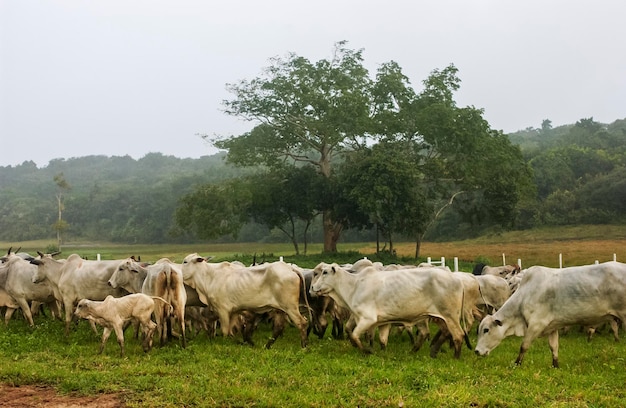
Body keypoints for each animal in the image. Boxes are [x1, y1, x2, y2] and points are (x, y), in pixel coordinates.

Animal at [179, 255, 308, 348]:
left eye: (185, 262)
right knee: (278, 327)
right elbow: (232, 330)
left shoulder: (223, 310)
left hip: (290, 307)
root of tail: (290, 268)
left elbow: (225, 330)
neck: (209, 277)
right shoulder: (234, 312)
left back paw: (303, 346)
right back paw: (267, 345)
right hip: (280, 309)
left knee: (302, 322)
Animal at [308, 262, 468, 356]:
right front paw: (381, 352)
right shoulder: (382, 322)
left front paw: (366, 350)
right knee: (435, 333)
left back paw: (455, 357)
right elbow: (382, 340)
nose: (312, 288)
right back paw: (421, 352)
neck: (354, 286)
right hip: (434, 317)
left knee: (458, 335)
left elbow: (354, 335)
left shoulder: (367, 319)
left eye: (325, 272)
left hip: (450, 316)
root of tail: (457, 279)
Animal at [472, 262, 624, 368]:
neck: (525, 294)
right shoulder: (553, 327)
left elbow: (524, 346)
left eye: (486, 330)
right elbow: (554, 347)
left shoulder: (536, 325)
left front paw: (516, 364)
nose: (477, 351)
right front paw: (555, 366)